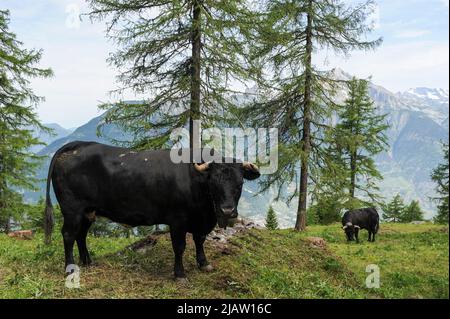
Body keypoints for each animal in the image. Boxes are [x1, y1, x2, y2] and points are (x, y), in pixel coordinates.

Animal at [44, 142, 262, 280]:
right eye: (214, 183)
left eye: (240, 183)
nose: (227, 211)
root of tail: (77, 144)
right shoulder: (177, 220)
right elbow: (180, 246)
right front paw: (179, 274)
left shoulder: (201, 221)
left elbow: (200, 240)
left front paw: (203, 263)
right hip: (72, 209)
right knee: (69, 235)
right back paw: (70, 269)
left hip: (88, 211)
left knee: (81, 235)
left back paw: (87, 262)